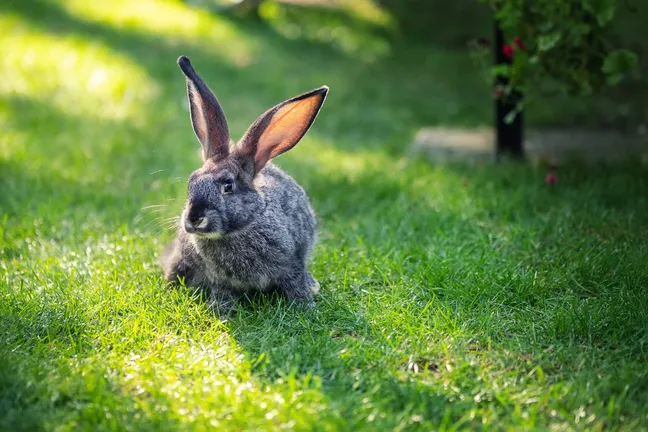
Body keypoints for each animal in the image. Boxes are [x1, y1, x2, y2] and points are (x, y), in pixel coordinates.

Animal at [161, 55, 328, 316]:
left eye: (228, 186)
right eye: (191, 182)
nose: (194, 218)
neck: (239, 229)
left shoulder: (292, 264)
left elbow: (294, 283)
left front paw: (305, 306)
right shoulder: (218, 279)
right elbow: (222, 292)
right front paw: (223, 311)